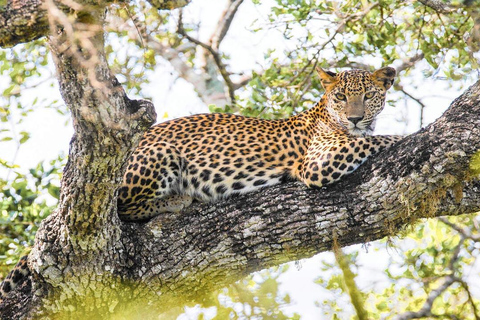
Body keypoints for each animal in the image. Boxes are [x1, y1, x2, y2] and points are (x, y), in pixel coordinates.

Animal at [0, 66, 402, 302]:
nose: (355, 118)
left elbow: (370, 138)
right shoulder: (317, 163)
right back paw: (179, 200)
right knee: (124, 206)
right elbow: (376, 140)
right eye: (341, 96)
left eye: (368, 96)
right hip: (158, 153)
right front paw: (402, 137)